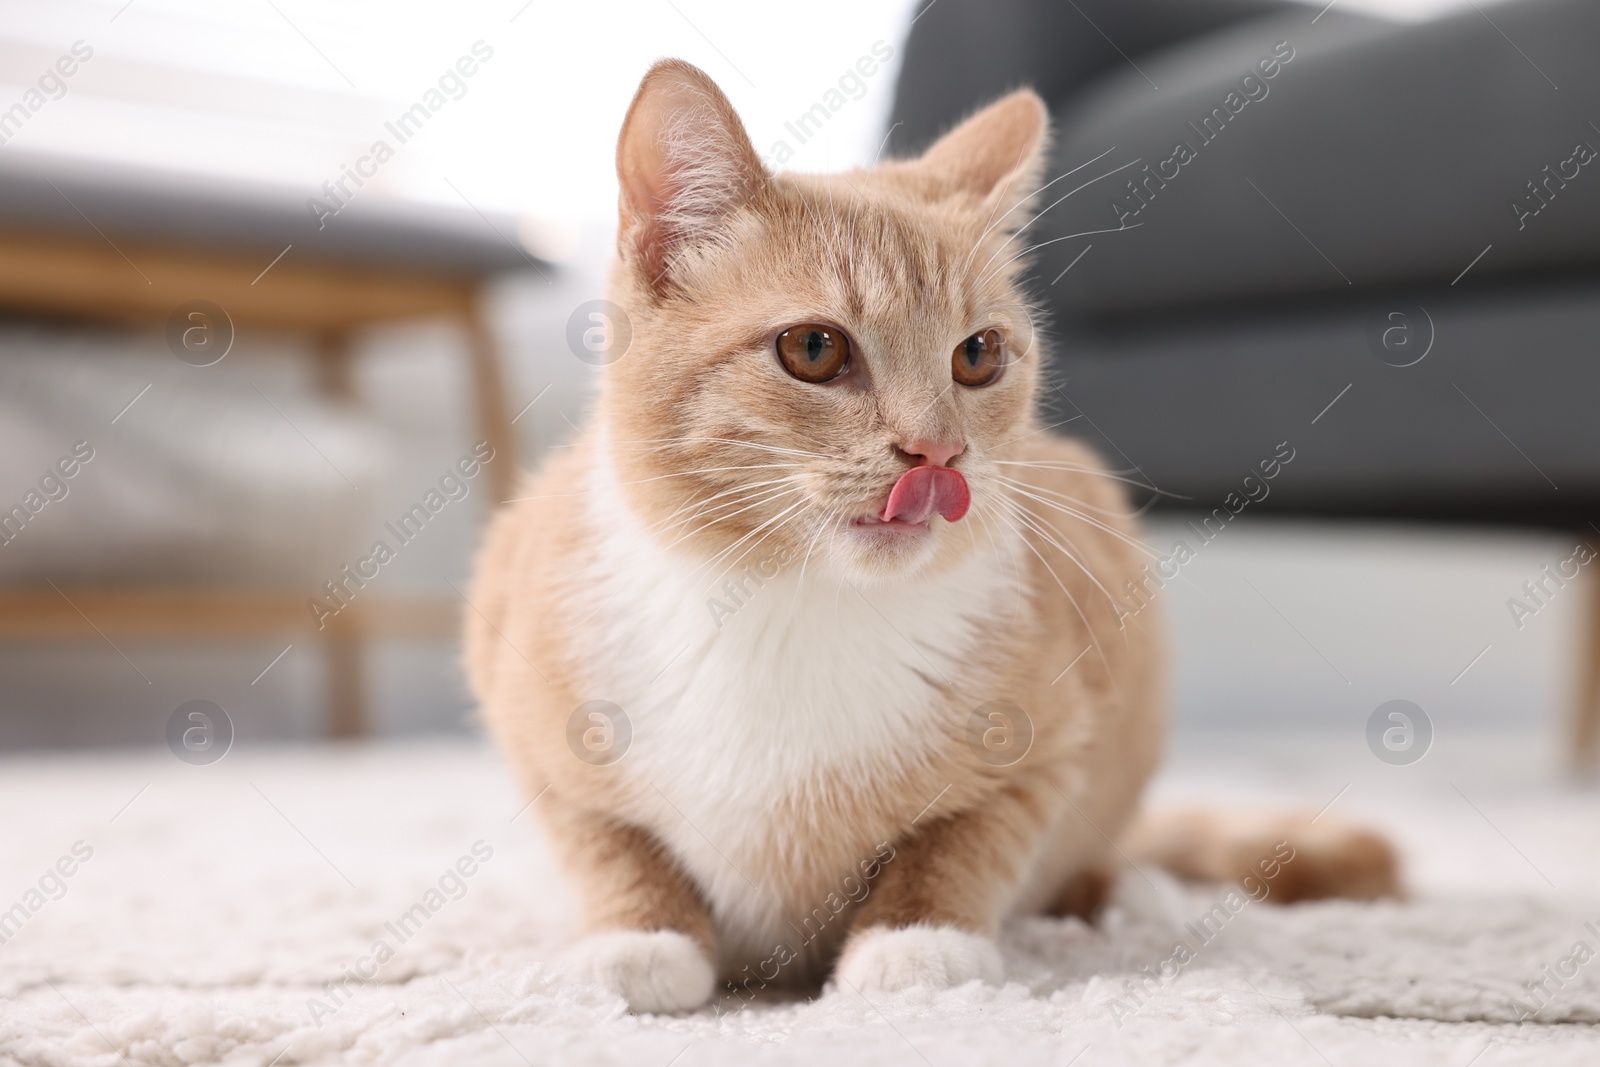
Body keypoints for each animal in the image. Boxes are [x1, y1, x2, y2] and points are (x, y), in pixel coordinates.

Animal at [464, 60, 1388, 1017]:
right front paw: (640, 934)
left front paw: (917, 938)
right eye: (814, 348)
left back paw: (1127, 891)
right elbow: (604, 837)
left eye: (978, 354)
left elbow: (968, 838)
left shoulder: (1054, 736)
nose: (937, 452)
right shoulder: (521, 681)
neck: (791, 608)